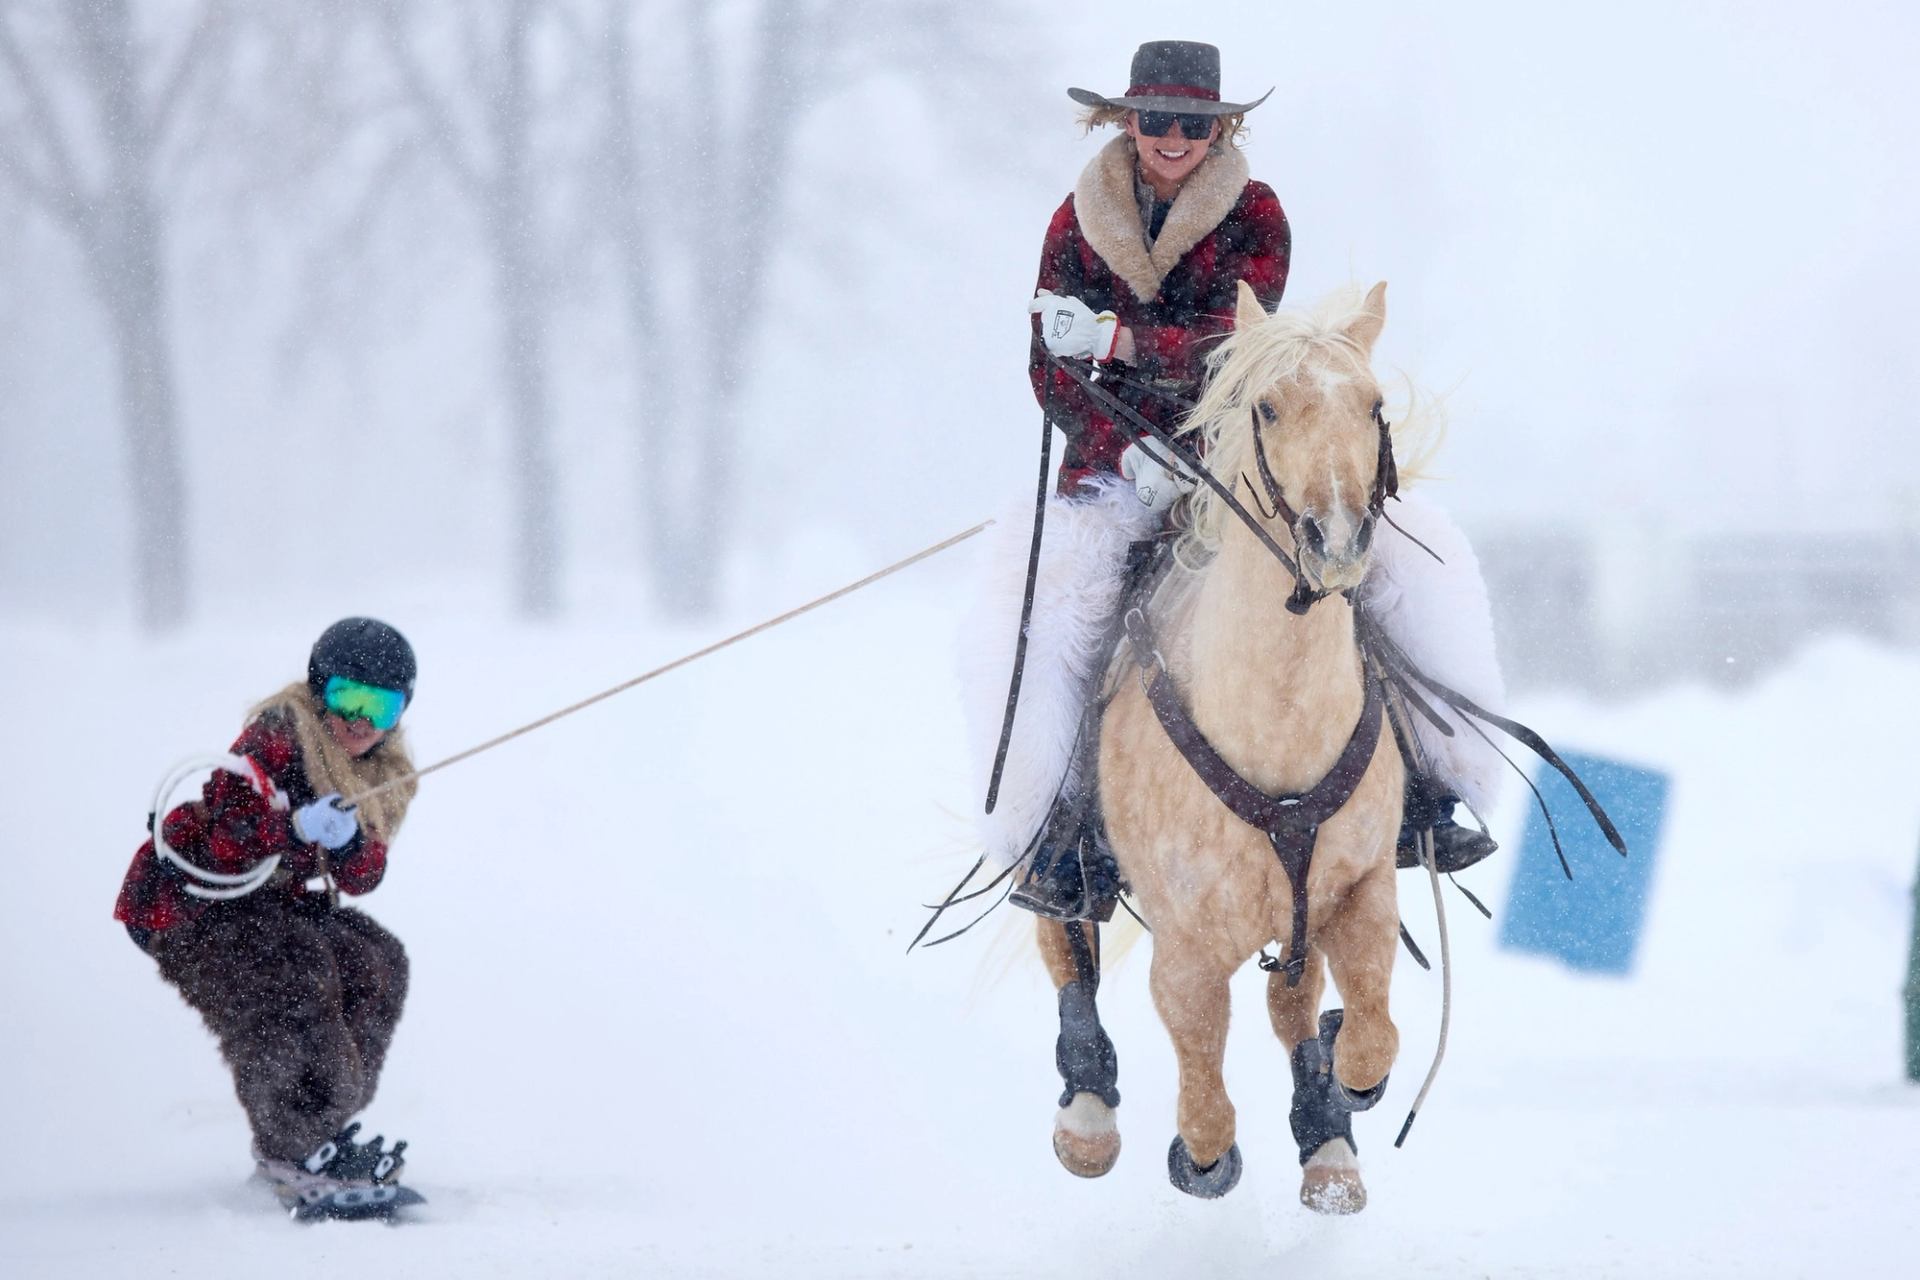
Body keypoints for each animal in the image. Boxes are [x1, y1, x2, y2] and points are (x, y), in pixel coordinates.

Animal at [1040, 280, 1408, 1214]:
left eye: (1374, 406)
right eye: (1268, 407)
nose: (1335, 541)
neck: (1275, 724)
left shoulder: (1360, 886)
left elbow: (1367, 1030)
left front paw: (1343, 1094)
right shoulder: (1187, 937)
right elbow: (1203, 1080)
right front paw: (1203, 1156)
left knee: (1293, 1002)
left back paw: (1329, 1143)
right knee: (1065, 941)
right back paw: (1087, 1119)